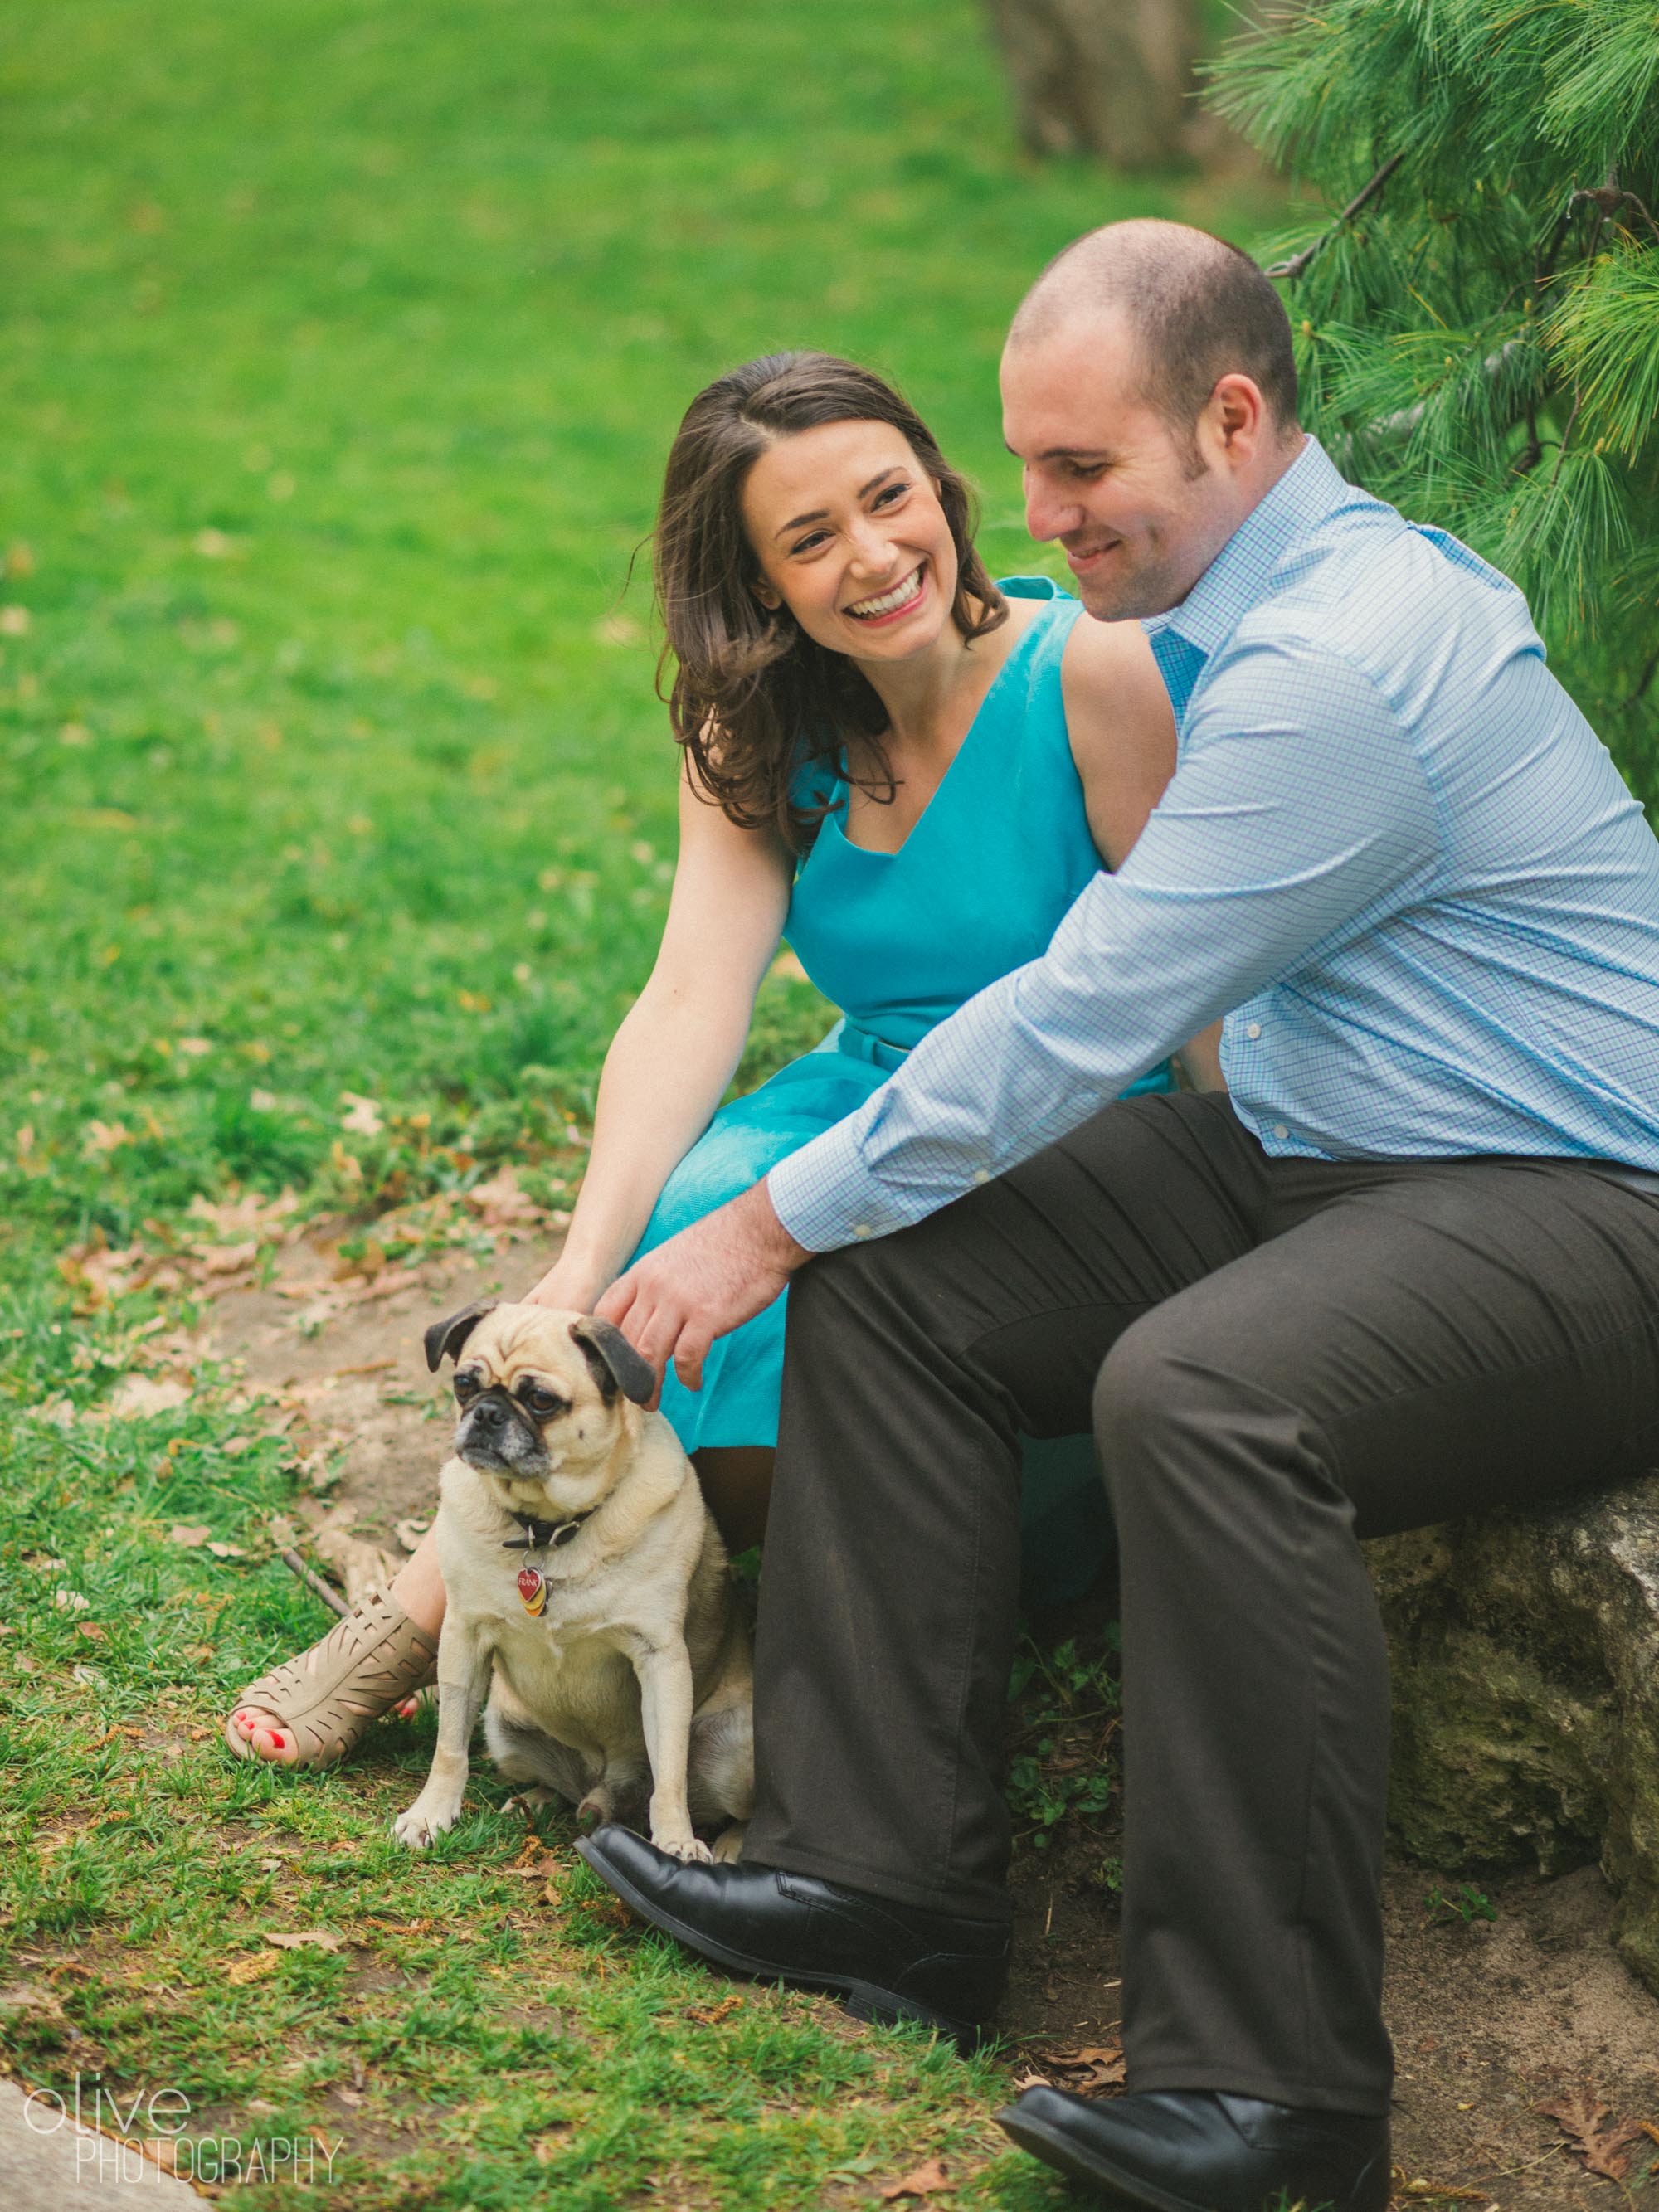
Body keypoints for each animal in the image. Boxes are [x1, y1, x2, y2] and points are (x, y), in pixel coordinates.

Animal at [393, 1291, 757, 1866]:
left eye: (541, 1400)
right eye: (464, 1385)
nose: (488, 1412)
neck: (545, 1529)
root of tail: (606, 1790)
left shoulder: (660, 1657)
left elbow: (670, 1771)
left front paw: (676, 1841)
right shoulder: (463, 1637)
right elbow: (449, 1746)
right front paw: (431, 1813)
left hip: (736, 1751)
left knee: (731, 1804)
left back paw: (728, 1845)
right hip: (503, 1727)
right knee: (554, 1783)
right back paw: (535, 1800)